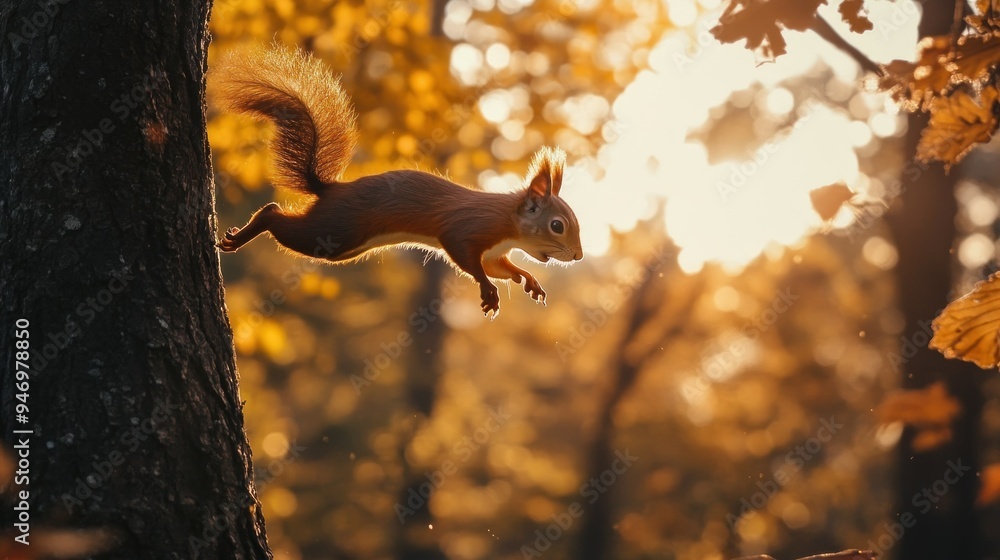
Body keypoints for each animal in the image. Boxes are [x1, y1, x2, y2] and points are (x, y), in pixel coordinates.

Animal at [213, 48, 584, 318]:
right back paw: (243, 234)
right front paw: (488, 291)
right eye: (557, 225)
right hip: (334, 232)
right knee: (275, 214)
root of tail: (330, 189)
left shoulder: (494, 252)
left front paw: (528, 280)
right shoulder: (468, 227)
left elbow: (500, 268)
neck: (508, 223)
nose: (579, 256)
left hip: (344, 244)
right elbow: (468, 260)